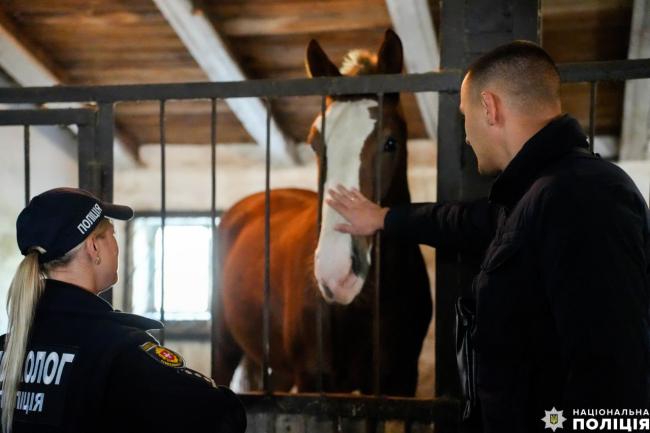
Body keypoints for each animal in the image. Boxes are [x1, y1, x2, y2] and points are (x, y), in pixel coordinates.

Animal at [213, 30, 432, 394]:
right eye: (315, 143)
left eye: (391, 143)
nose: (336, 272)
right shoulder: (316, 381)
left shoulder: (399, 381)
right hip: (225, 345)